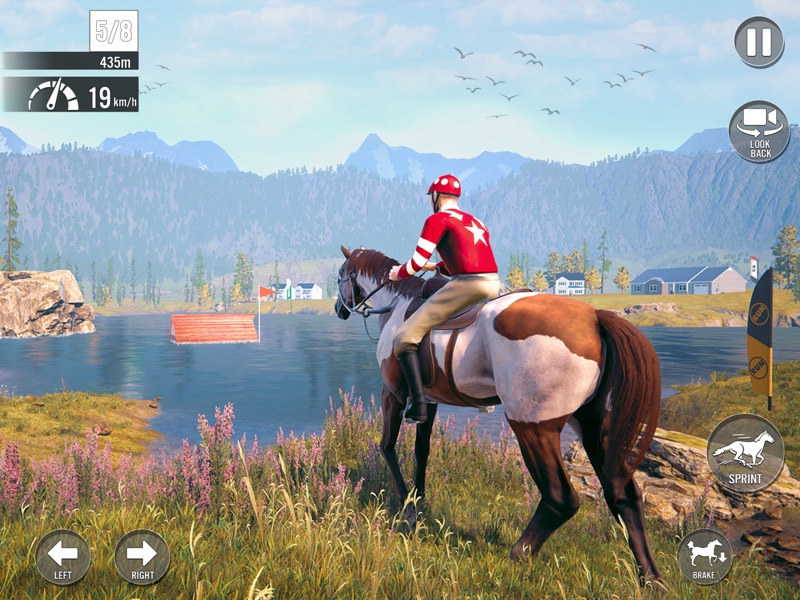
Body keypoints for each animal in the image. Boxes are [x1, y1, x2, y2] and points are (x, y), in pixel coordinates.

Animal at [334, 246, 663, 582]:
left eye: (340, 276)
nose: (339, 309)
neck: (399, 306)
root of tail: (595, 318)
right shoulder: (429, 402)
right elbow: (421, 452)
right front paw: (418, 503)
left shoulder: (394, 395)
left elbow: (387, 447)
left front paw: (408, 510)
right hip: (594, 426)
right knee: (623, 494)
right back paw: (651, 578)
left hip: (533, 427)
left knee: (561, 498)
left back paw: (520, 552)